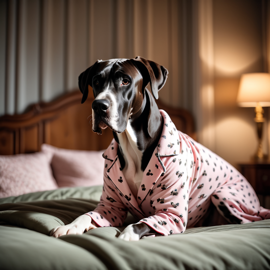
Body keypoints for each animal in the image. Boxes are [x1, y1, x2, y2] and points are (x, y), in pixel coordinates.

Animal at [51, 56, 270, 240]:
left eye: (125, 81)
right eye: (96, 82)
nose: (98, 106)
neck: (132, 145)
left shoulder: (171, 214)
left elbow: (140, 223)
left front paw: (127, 234)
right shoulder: (109, 207)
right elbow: (87, 216)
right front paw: (70, 226)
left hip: (223, 194)